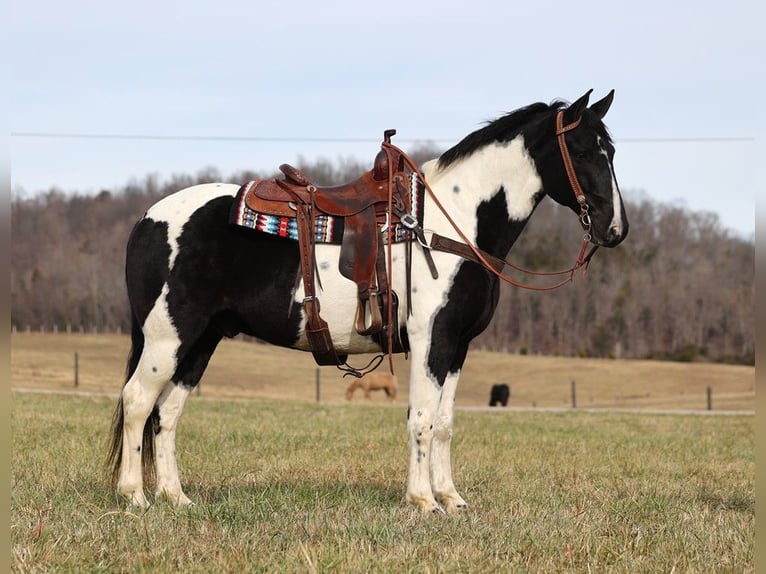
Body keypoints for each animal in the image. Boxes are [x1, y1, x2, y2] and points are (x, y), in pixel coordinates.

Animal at [106, 91, 632, 516]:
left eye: (610, 151)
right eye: (582, 150)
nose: (615, 229)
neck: (452, 223)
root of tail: (147, 218)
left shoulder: (457, 347)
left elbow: (444, 423)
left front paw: (452, 499)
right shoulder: (430, 340)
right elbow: (421, 420)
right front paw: (423, 501)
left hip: (201, 339)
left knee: (168, 411)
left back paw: (176, 498)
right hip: (168, 336)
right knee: (137, 401)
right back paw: (135, 497)